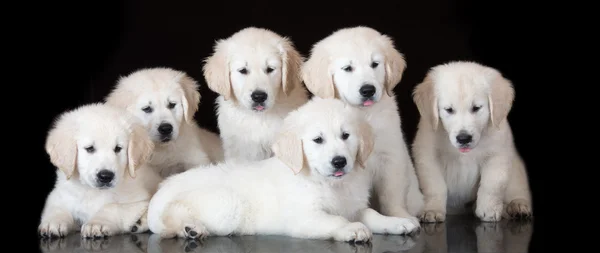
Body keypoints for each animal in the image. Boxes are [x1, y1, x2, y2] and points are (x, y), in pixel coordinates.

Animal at [39, 103, 163, 237]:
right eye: (89, 148)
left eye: (118, 148)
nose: (106, 176)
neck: (93, 191)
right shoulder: (59, 194)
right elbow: (57, 207)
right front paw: (53, 222)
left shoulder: (139, 201)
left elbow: (111, 207)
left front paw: (97, 223)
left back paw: (139, 223)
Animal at [146, 97, 418, 243]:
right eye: (318, 140)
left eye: (346, 136)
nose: (339, 161)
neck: (330, 183)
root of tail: (158, 195)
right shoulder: (304, 217)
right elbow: (335, 219)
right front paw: (352, 229)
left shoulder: (354, 206)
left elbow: (371, 214)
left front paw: (397, 222)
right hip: (226, 204)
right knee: (172, 218)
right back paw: (191, 228)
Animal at [302, 26, 424, 231]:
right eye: (348, 68)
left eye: (375, 64)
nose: (368, 90)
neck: (364, 114)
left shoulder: (390, 156)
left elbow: (392, 194)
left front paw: (400, 217)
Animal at [412, 60, 536, 221]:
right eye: (449, 110)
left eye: (476, 108)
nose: (463, 138)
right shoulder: (427, 156)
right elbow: (435, 186)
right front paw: (432, 210)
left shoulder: (498, 154)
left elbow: (491, 185)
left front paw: (489, 210)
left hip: (515, 170)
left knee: (518, 190)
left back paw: (517, 206)